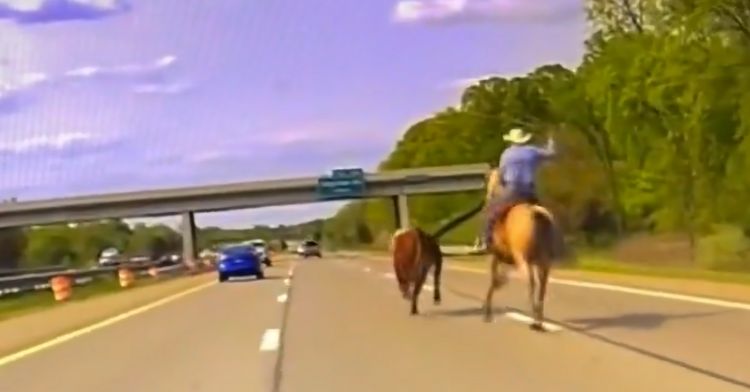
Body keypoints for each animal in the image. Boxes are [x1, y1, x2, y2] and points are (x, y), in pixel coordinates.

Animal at [482, 171, 564, 330]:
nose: (487, 196)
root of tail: (535, 212)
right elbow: (498, 280)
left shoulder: (497, 257)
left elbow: (494, 280)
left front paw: (487, 312)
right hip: (543, 262)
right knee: (542, 286)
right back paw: (539, 319)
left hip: (523, 259)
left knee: (531, 283)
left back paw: (534, 320)